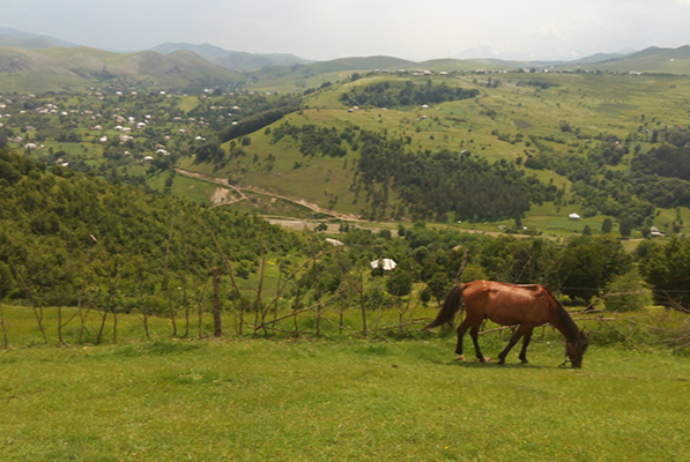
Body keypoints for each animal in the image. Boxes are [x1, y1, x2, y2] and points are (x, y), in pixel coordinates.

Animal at [424, 282, 584, 368]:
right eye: (580, 349)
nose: (578, 365)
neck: (547, 303)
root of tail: (468, 284)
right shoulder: (525, 324)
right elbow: (514, 340)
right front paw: (502, 358)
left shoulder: (530, 325)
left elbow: (526, 342)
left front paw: (523, 358)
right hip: (477, 317)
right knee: (473, 334)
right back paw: (481, 357)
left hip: (473, 315)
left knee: (461, 330)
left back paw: (460, 352)